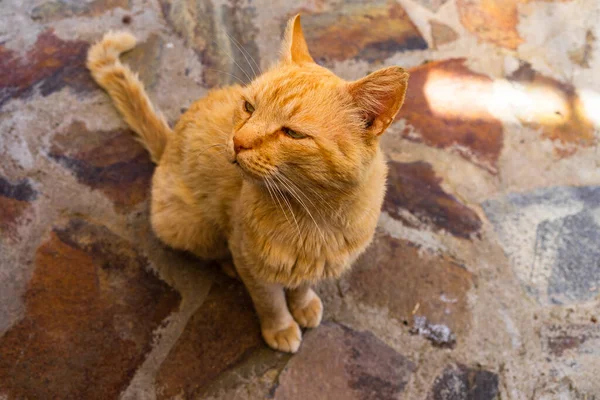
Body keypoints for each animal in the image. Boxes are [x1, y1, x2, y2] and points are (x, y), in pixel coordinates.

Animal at [88, 14, 408, 354]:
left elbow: (301, 286)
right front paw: (280, 328)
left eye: (293, 133)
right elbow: (270, 302)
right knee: (212, 250)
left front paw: (303, 304)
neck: (313, 218)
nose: (237, 142)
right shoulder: (255, 266)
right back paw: (227, 264)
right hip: (188, 225)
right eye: (249, 107)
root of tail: (168, 144)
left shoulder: (316, 263)